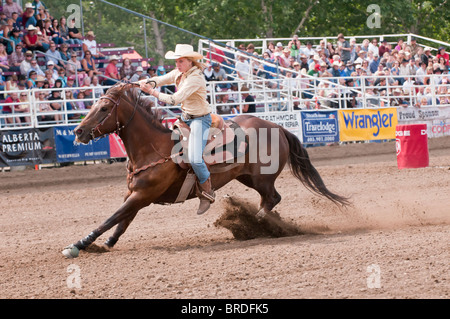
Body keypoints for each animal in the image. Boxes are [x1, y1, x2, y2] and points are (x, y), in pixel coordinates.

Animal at [63, 84, 350, 258]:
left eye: (103, 108)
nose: (78, 131)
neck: (154, 148)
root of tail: (277, 127)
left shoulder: (142, 196)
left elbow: (110, 218)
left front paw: (78, 245)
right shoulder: (136, 195)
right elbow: (122, 222)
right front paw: (107, 244)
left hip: (262, 178)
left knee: (272, 199)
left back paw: (255, 224)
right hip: (247, 177)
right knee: (270, 200)